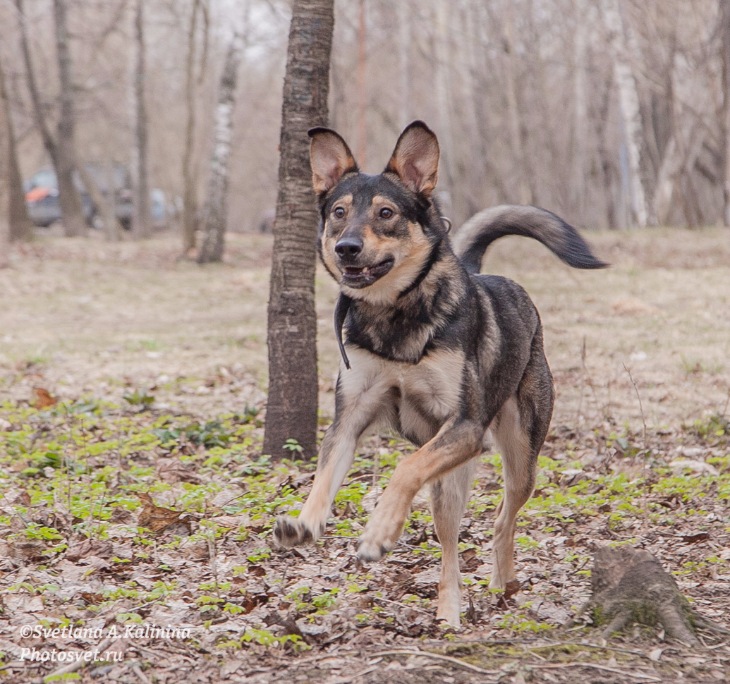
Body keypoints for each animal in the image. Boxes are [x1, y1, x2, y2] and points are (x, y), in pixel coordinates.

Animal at [274, 121, 606, 628]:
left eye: (386, 213)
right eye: (338, 213)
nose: (346, 248)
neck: (395, 317)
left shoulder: (465, 427)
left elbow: (404, 468)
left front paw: (379, 531)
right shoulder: (348, 418)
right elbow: (325, 474)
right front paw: (306, 521)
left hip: (518, 457)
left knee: (500, 519)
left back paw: (494, 587)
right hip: (448, 486)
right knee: (451, 541)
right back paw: (452, 606)